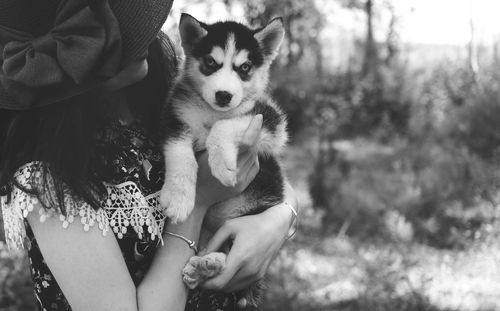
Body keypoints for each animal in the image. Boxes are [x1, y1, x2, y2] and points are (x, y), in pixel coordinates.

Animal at [158, 12, 288, 310]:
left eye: (245, 67)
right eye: (210, 63)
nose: (224, 96)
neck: (211, 111)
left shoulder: (271, 121)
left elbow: (226, 125)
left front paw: (222, 165)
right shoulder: (174, 117)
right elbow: (179, 153)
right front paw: (178, 196)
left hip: (254, 210)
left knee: (230, 253)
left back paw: (209, 265)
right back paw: (203, 266)